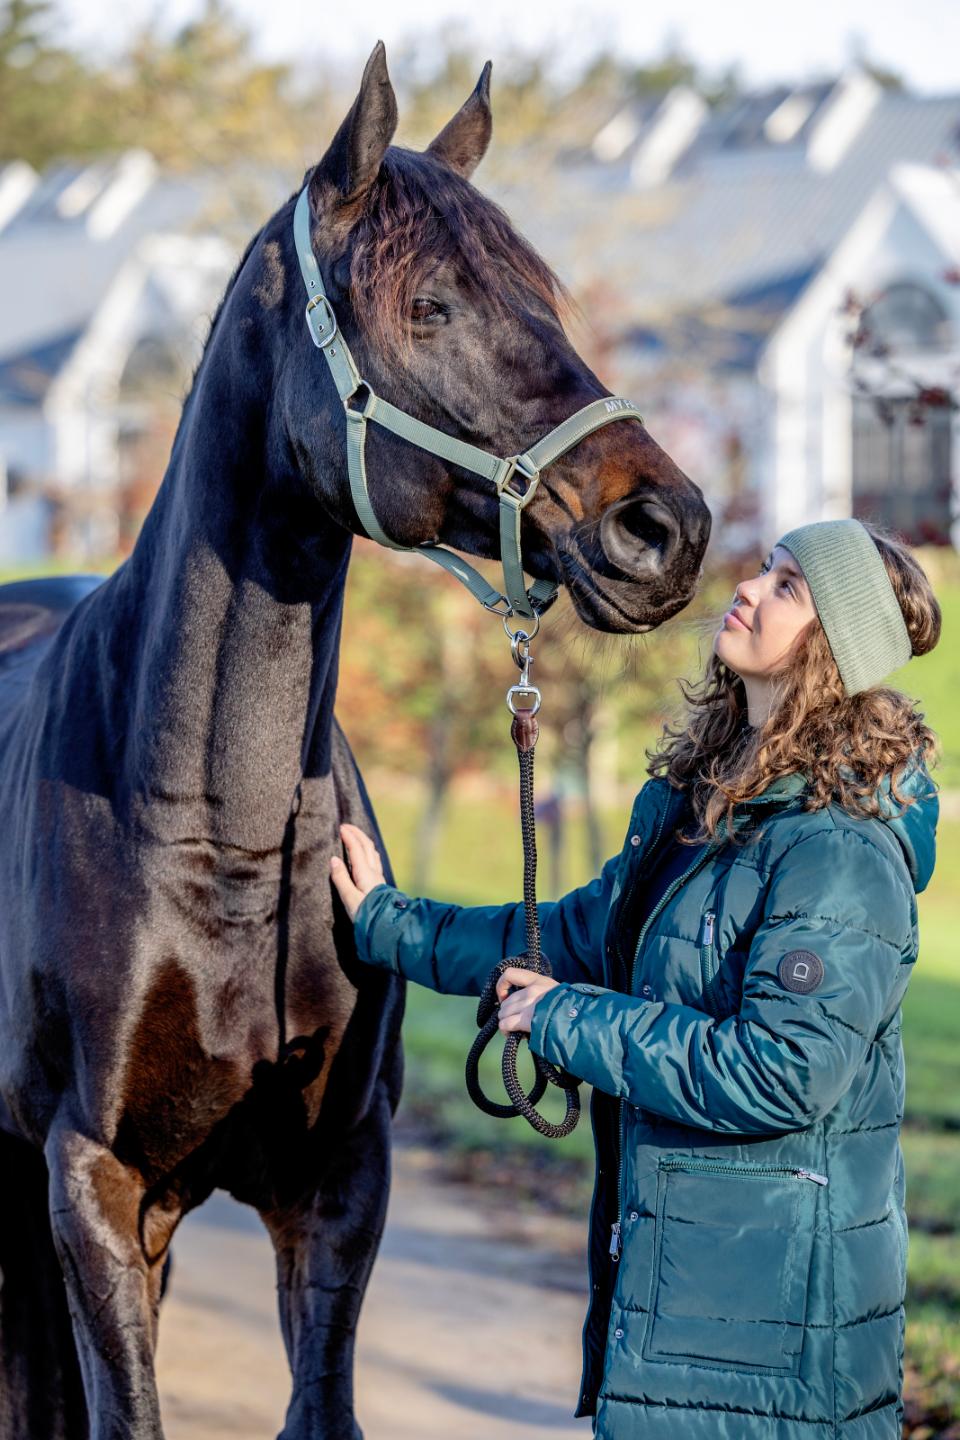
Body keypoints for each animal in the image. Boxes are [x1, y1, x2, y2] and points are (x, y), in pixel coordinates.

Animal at [0, 41, 711, 1440]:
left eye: (549, 296)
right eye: (429, 304)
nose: (666, 526)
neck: (210, 833)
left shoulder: (335, 1182)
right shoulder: (93, 1182)